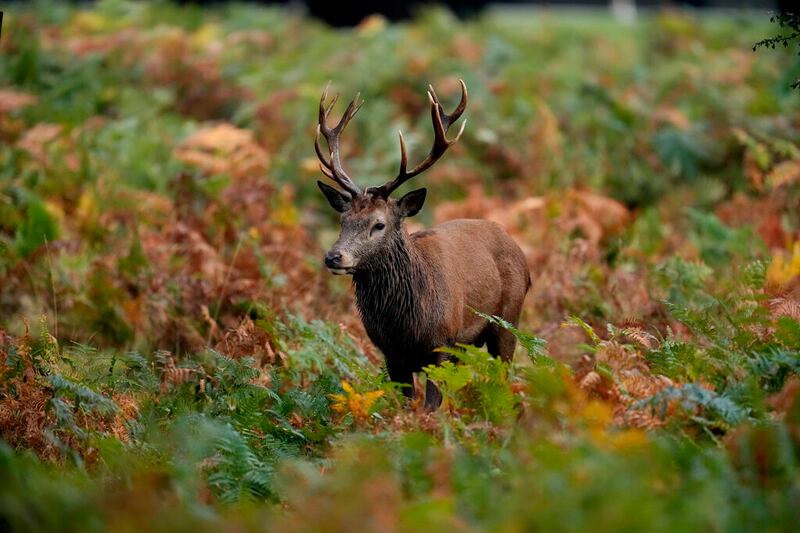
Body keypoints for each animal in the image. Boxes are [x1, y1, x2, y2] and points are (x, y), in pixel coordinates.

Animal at [314, 80, 530, 409]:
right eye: (343, 220)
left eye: (379, 224)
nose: (334, 257)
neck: (404, 326)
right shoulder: (391, 355)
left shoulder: (441, 345)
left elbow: (431, 408)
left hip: (507, 322)